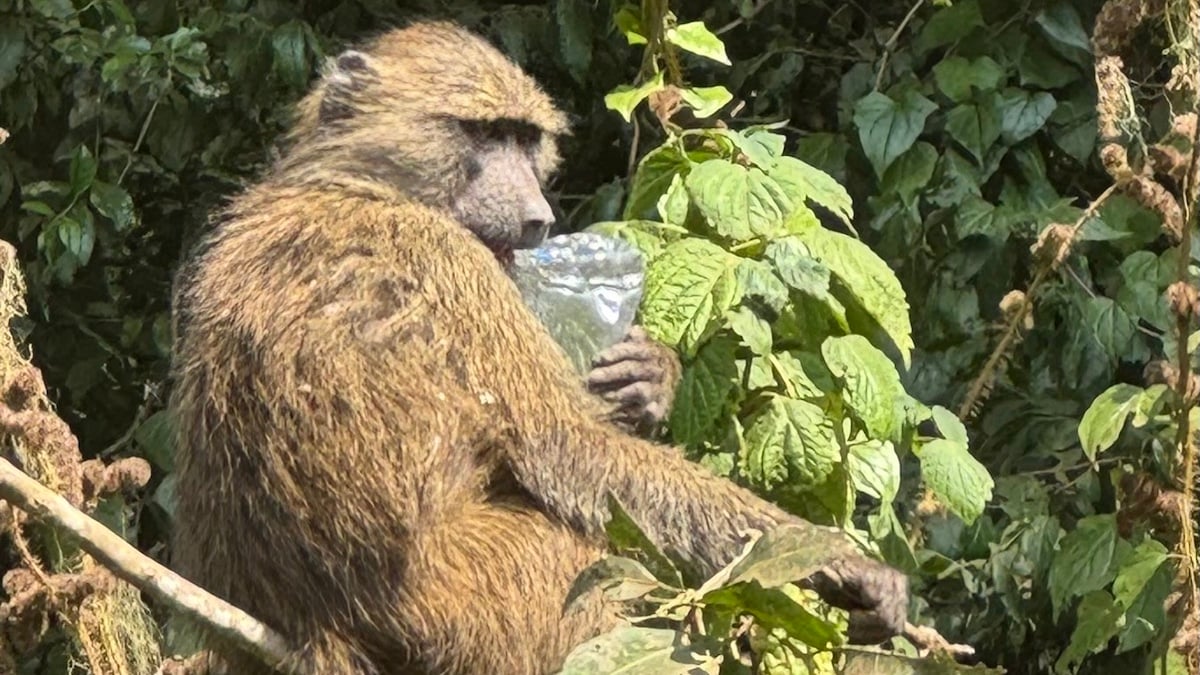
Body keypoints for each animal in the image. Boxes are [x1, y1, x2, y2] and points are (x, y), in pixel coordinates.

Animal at [167, 21, 908, 675]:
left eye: (526, 139)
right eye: (483, 132)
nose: (537, 219)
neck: (354, 182)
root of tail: (313, 621)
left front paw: (647, 378)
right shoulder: (450, 262)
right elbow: (570, 448)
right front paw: (843, 562)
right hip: (479, 598)